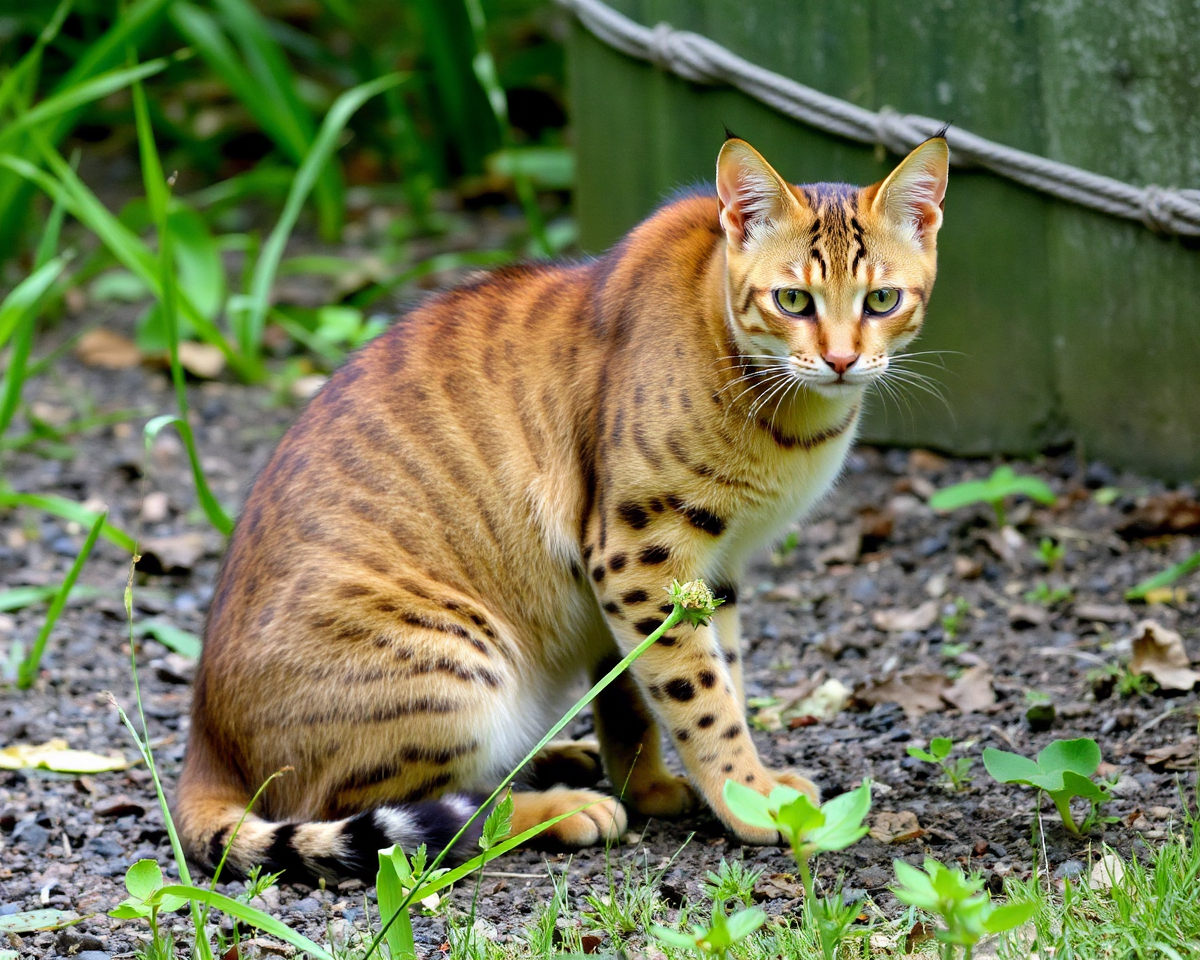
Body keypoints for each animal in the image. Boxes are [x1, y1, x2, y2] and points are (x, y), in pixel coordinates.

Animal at [175, 131, 945, 883]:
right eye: (792, 301)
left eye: (882, 301)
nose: (842, 360)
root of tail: (202, 747)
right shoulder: (639, 551)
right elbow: (700, 695)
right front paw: (748, 799)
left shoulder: (698, 573)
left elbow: (660, 688)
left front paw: (663, 785)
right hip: (458, 666)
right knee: (402, 817)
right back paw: (559, 806)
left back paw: (555, 759)